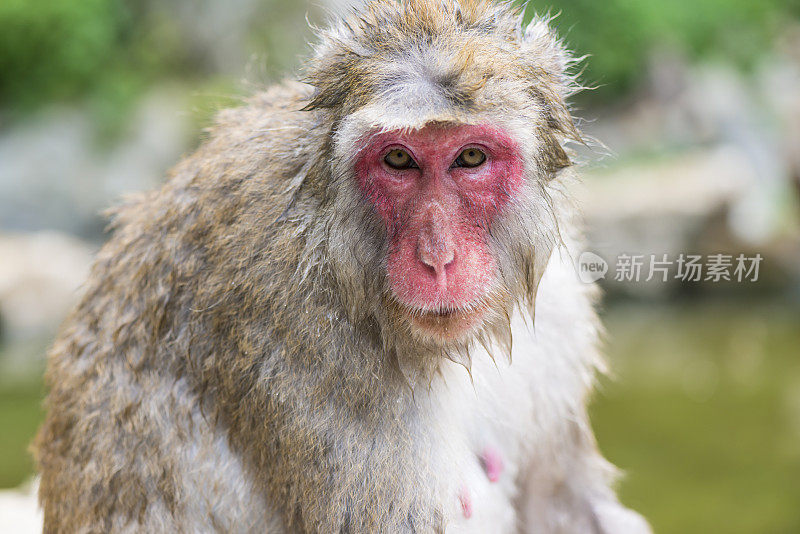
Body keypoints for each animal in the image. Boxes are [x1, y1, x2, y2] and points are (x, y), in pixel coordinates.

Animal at [34, 0, 652, 532]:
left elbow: (564, 500)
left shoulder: (561, 310)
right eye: (399, 159)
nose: (438, 257)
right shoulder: (301, 334)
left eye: (471, 157)